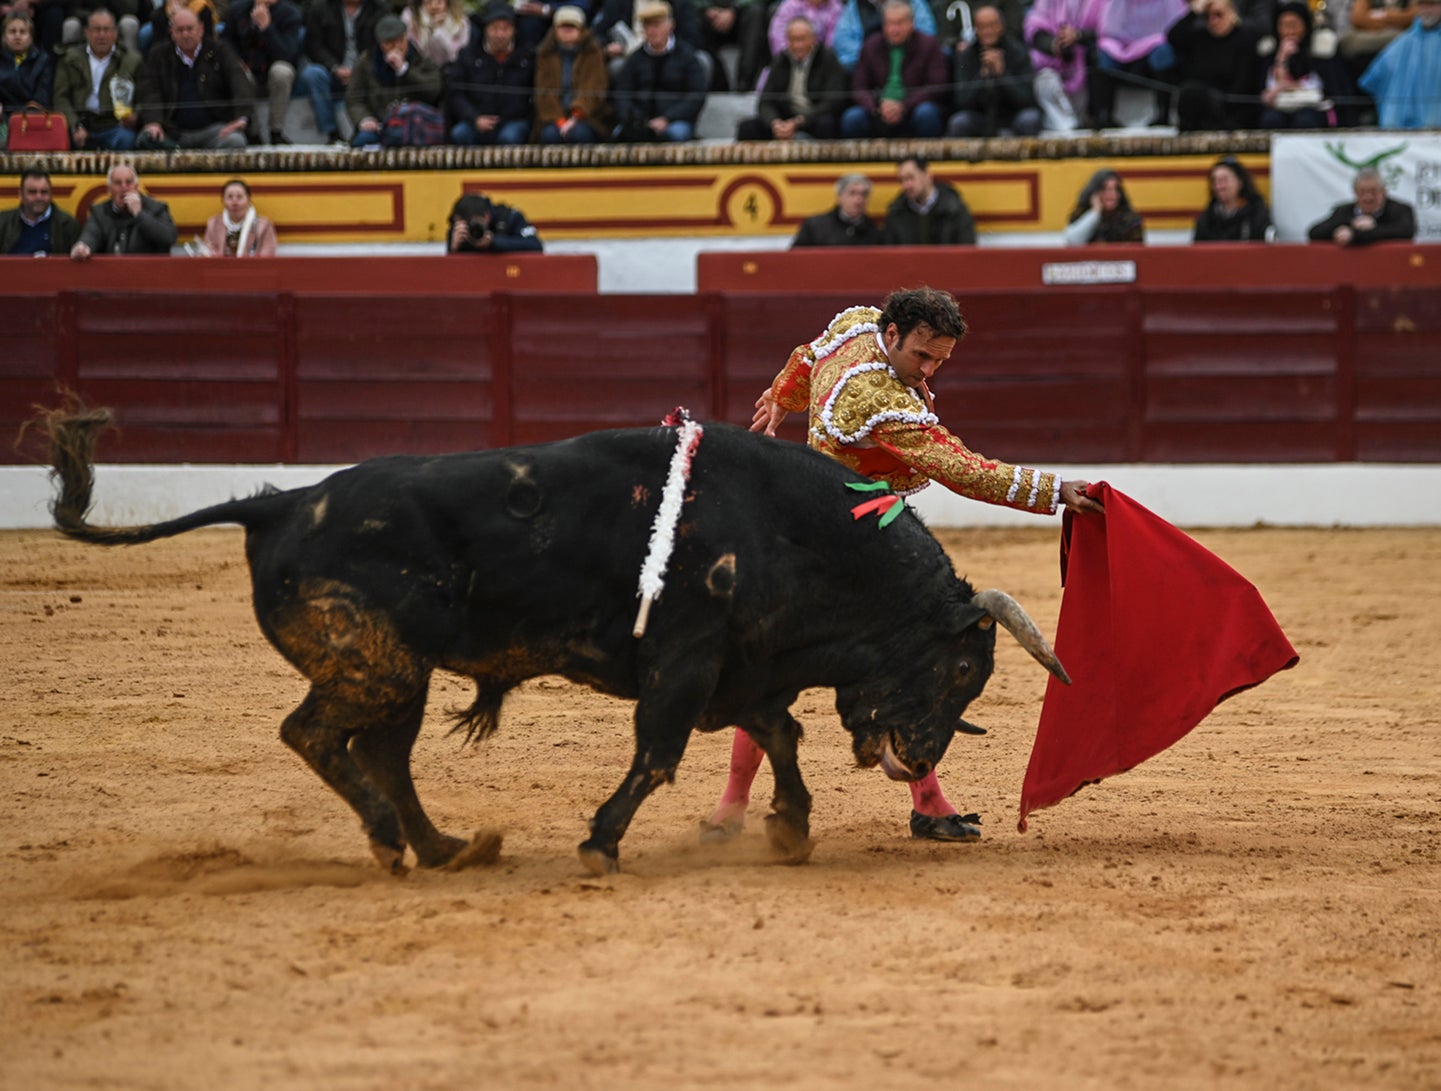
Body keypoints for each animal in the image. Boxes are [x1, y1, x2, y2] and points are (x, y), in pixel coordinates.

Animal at [42, 409, 1072, 876]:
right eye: (963, 667)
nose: (920, 759)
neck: (792, 528)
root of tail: (279, 502)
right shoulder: (686, 661)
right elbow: (658, 753)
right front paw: (601, 842)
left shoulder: (739, 668)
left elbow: (779, 734)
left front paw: (788, 825)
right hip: (373, 659)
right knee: (316, 736)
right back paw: (393, 843)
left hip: (401, 673)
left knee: (382, 753)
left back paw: (444, 844)